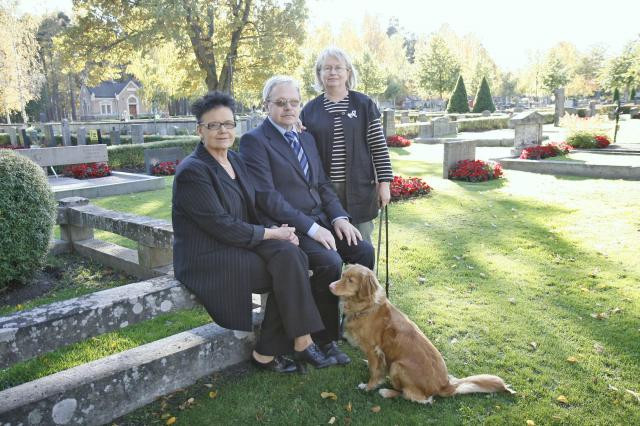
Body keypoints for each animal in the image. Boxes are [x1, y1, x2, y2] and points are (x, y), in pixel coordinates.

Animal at [330, 264, 516, 404]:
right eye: (342, 275)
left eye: (350, 280)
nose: (330, 286)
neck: (366, 307)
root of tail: (444, 385)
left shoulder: (373, 349)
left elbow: (375, 373)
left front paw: (368, 387)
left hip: (397, 366)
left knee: (415, 397)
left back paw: (387, 392)